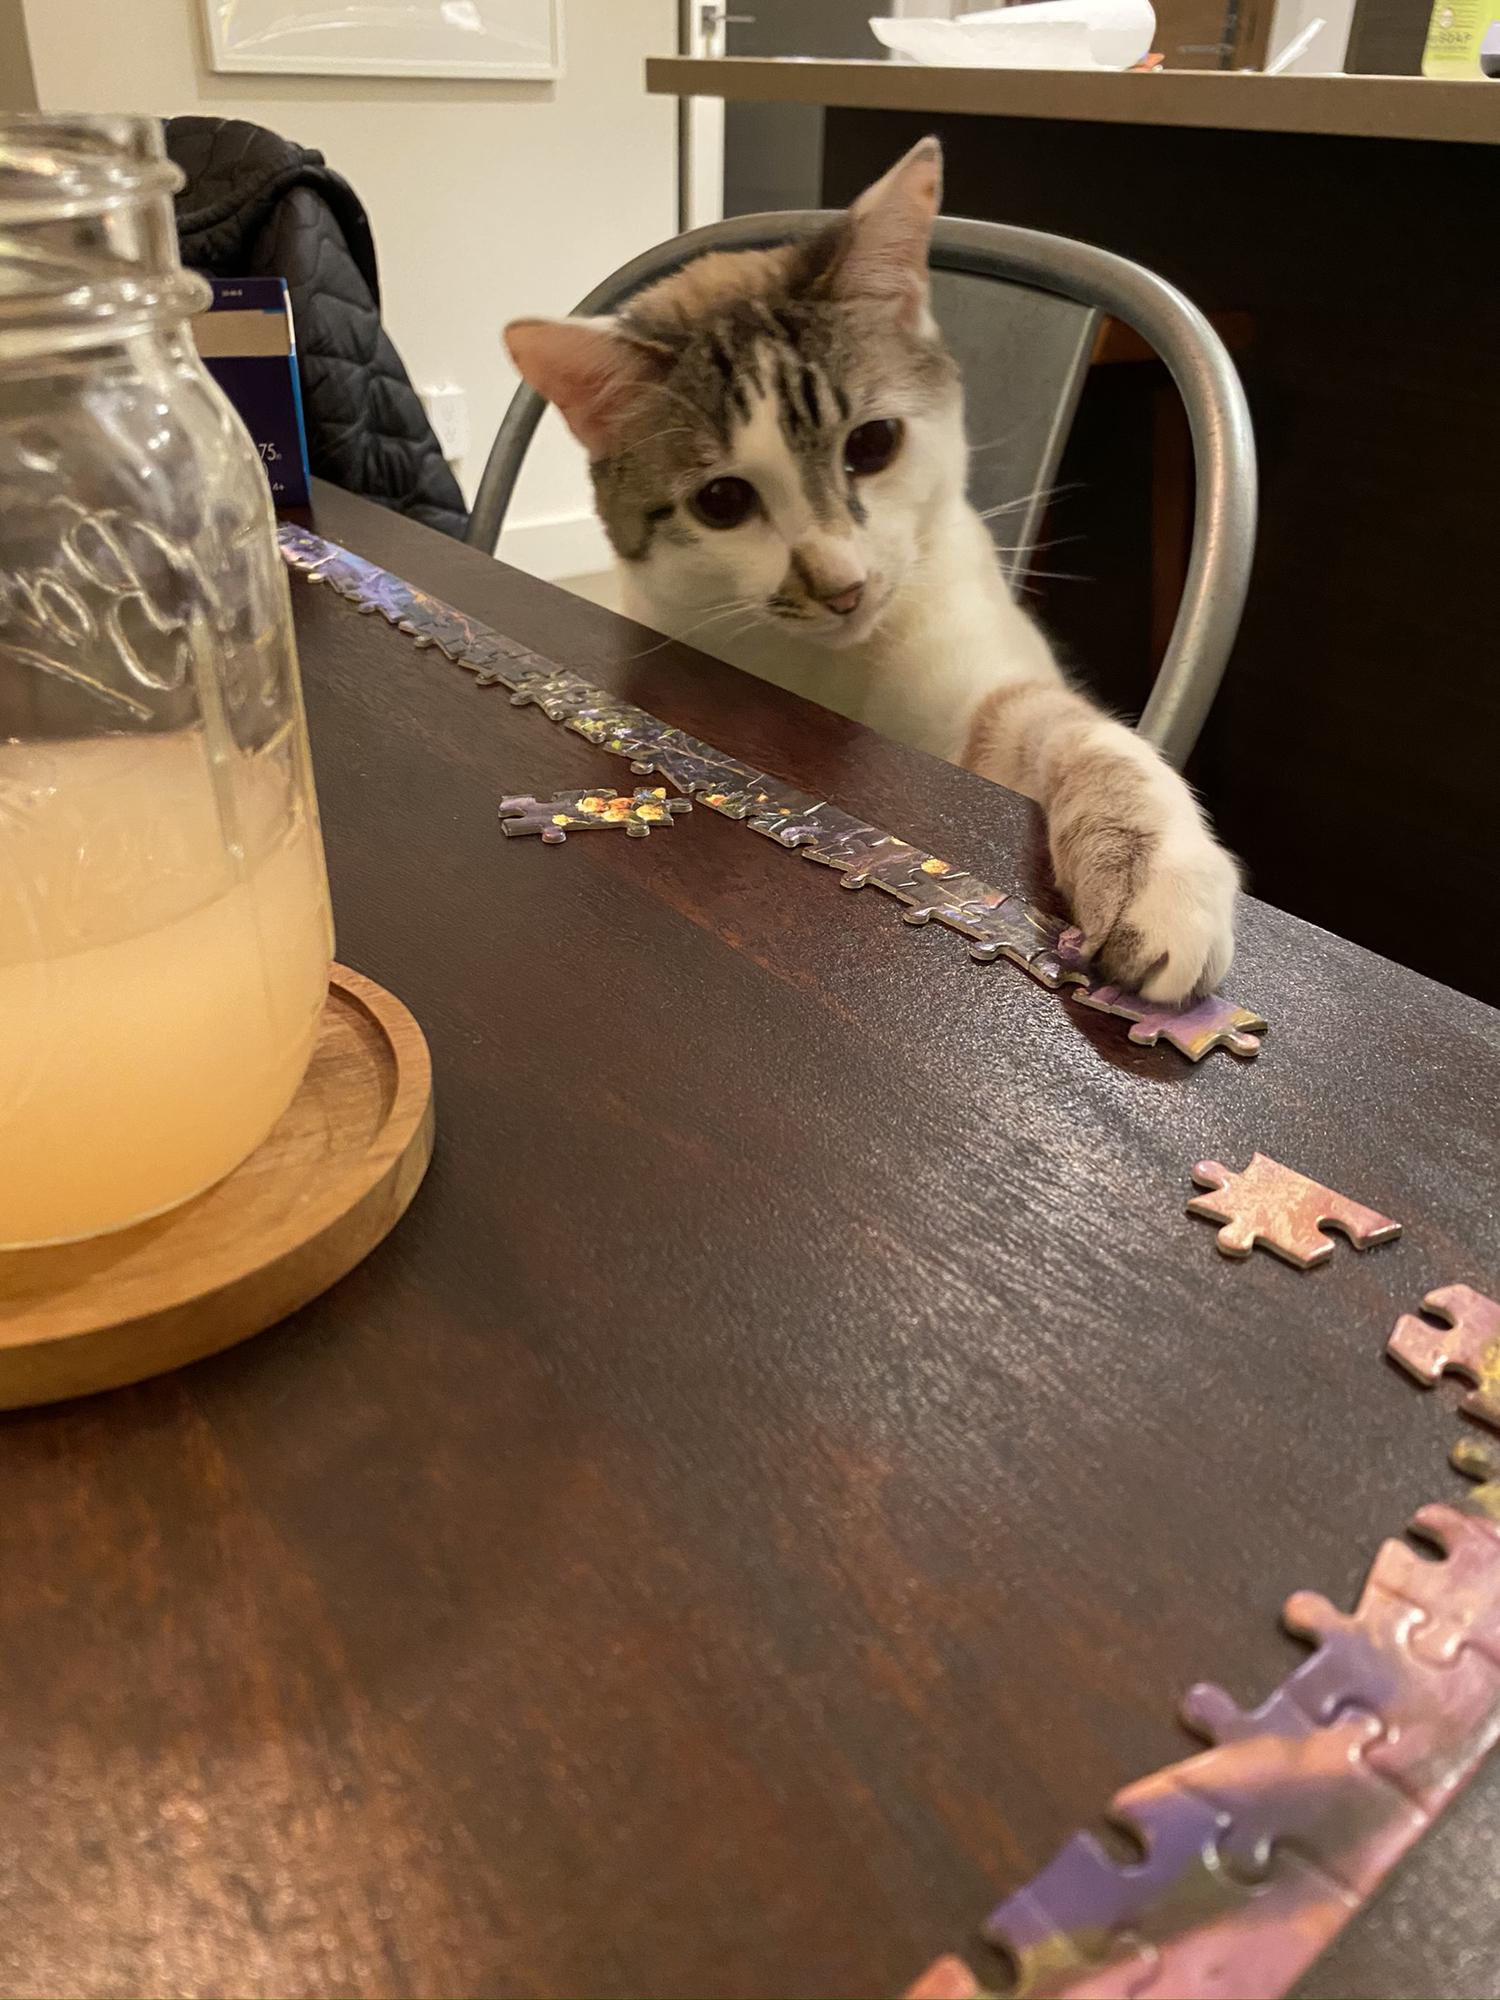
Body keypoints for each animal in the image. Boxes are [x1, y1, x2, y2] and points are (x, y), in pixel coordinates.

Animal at [512, 137, 1240, 1000]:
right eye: (722, 501)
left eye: (872, 443)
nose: (841, 586)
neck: (835, 668)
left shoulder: (986, 701)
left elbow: (1095, 744)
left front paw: (1150, 882)